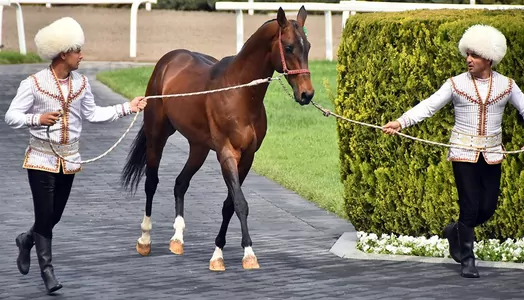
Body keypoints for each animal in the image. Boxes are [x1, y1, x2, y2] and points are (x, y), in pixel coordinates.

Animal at [121, 5, 314, 270]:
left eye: (308, 46)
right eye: (288, 47)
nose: (307, 94)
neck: (238, 93)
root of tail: (168, 61)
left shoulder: (248, 157)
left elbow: (229, 204)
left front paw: (220, 252)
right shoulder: (226, 154)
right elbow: (240, 203)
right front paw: (247, 254)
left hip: (198, 147)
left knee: (180, 183)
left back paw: (177, 239)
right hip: (157, 134)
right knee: (151, 182)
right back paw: (145, 240)